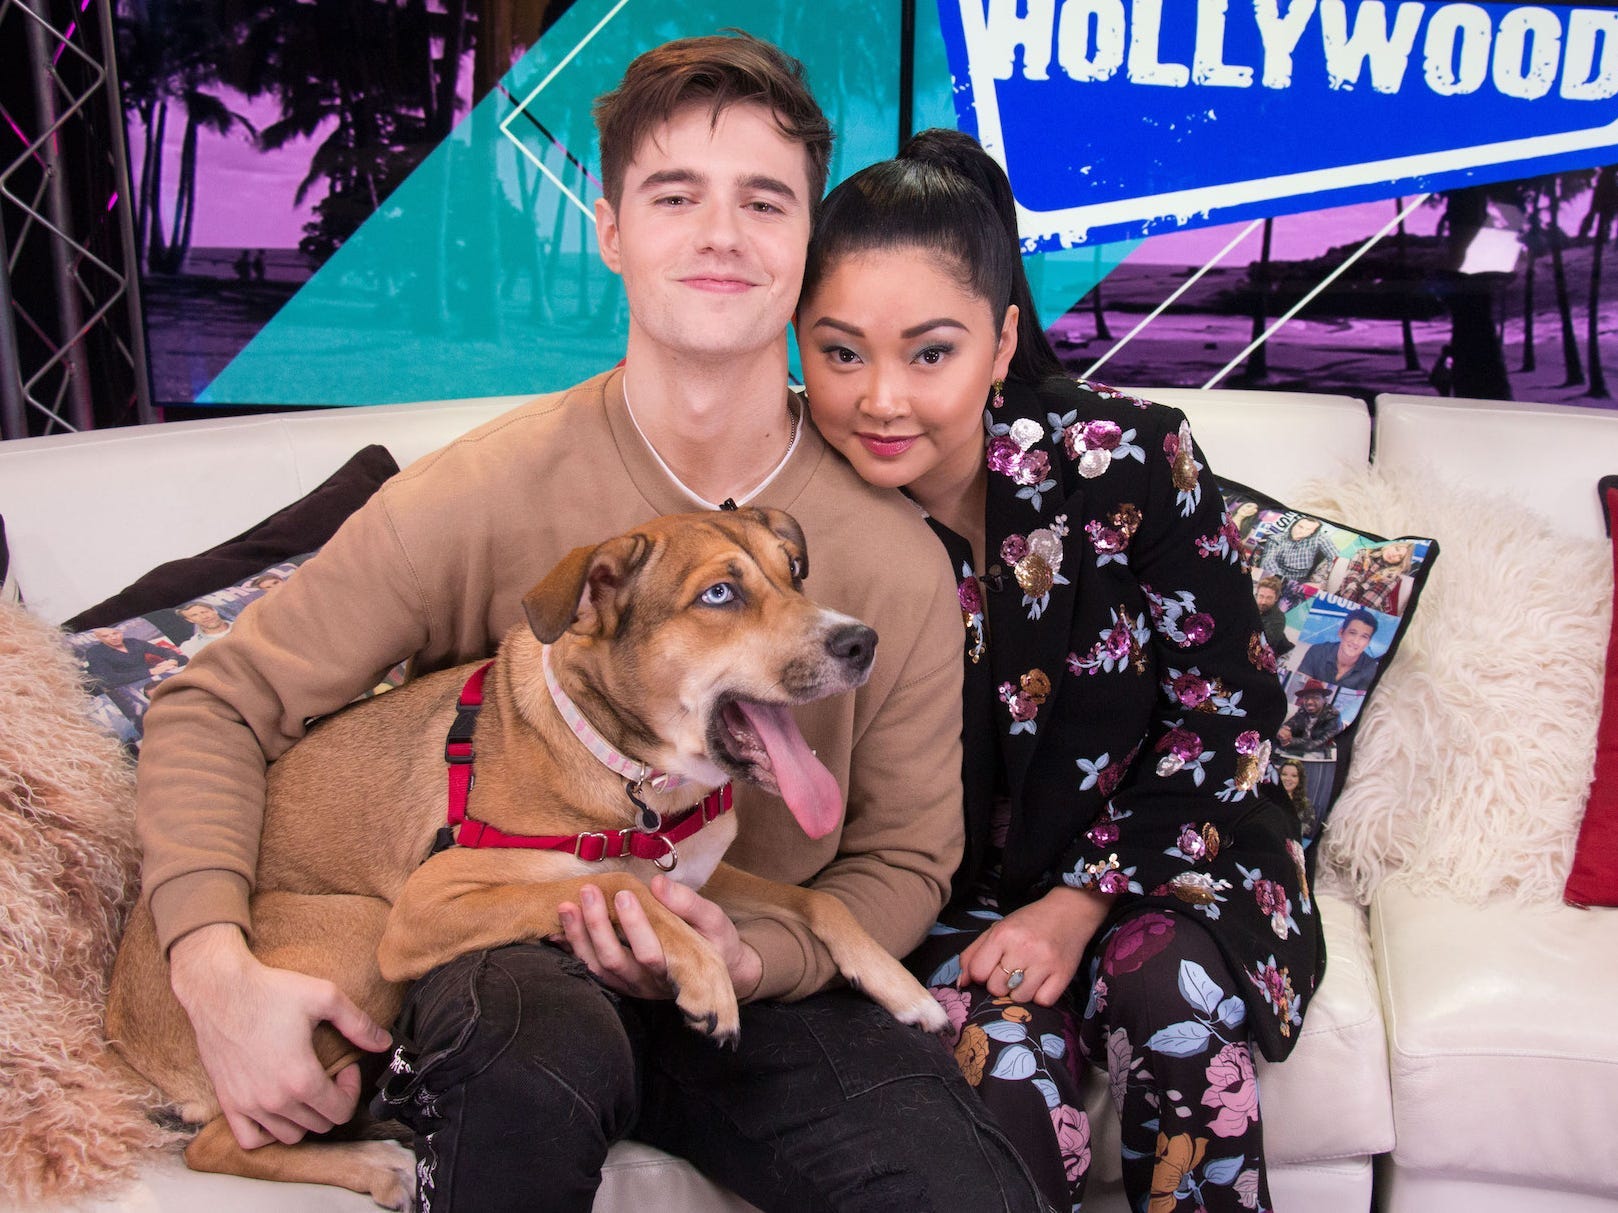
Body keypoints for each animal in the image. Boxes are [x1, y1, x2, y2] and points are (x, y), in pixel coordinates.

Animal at [107, 504, 944, 1209]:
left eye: (794, 571)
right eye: (719, 594)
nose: (862, 641)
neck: (633, 777)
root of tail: (120, 1025)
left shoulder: (705, 871)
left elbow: (816, 898)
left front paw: (904, 990)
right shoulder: (424, 907)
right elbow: (612, 887)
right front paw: (706, 977)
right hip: (358, 941)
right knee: (218, 1145)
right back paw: (371, 1164)